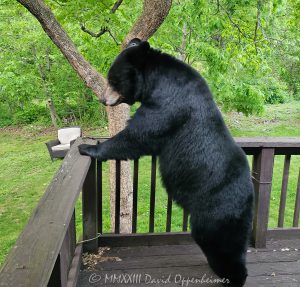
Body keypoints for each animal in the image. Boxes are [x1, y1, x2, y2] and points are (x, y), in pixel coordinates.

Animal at [79, 38, 253, 287]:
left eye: (113, 80)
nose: (103, 99)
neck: (155, 80)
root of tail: (249, 194)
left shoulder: (168, 102)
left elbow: (140, 134)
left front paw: (88, 147)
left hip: (217, 208)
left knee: (218, 240)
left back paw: (232, 277)